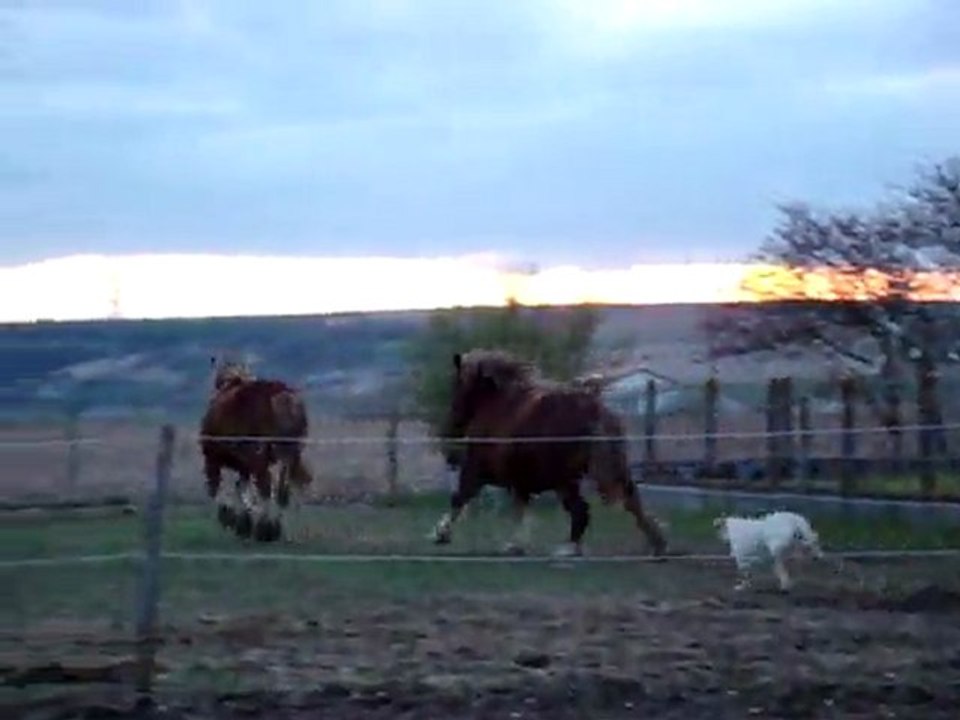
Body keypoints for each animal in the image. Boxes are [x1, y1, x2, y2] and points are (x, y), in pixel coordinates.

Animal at [199, 357, 314, 542]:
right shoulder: (244, 465)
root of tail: (282, 397)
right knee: (287, 487)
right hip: (290, 453)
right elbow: (241, 488)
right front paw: (243, 522)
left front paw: (230, 518)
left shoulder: (212, 457)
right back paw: (278, 528)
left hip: (259, 453)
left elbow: (216, 488)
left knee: (266, 486)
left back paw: (265, 528)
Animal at [430, 349, 668, 558]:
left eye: (457, 384)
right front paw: (515, 545)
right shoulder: (519, 480)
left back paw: (568, 550)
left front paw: (441, 534)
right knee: (626, 499)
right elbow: (518, 508)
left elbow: (460, 497)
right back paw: (657, 544)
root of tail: (596, 412)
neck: (498, 404)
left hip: (564, 479)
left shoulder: (478, 470)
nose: (449, 429)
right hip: (588, 474)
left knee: (582, 509)